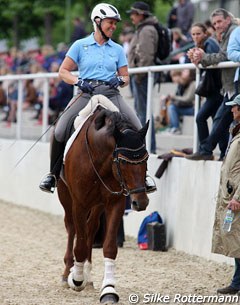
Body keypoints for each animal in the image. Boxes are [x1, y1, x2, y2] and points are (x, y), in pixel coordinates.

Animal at [57, 96, 149, 302]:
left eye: (146, 158)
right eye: (122, 161)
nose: (141, 202)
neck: (99, 160)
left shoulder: (115, 203)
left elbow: (109, 247)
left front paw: (108, 289)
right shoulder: (80, 203)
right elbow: (80, 245)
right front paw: (76, 280)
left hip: (98, 204)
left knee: (91, 229)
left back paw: (88, 276)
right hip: (65, 196)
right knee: (71, 228)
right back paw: (68, 273)